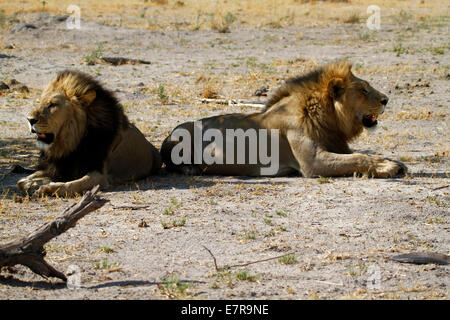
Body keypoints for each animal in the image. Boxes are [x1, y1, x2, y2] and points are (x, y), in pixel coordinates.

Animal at [17, 69, 162, 195]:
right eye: (39, 102)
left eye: (53, 104)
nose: (29, 119)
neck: (71, 143)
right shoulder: (56, 168)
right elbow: (21, 181)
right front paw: (32, 184)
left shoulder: (100, 175)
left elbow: (72, 185)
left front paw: (46, 188)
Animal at [163, 60, 408, 178]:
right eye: (364, 90)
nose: (386, 100)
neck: (327, 117)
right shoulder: (313, 163)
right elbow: (358, 157)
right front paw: (388, 167)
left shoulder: (335, 145)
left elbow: (360, 155)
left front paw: (393, 162)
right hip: (180, 137)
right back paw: (190, 169)